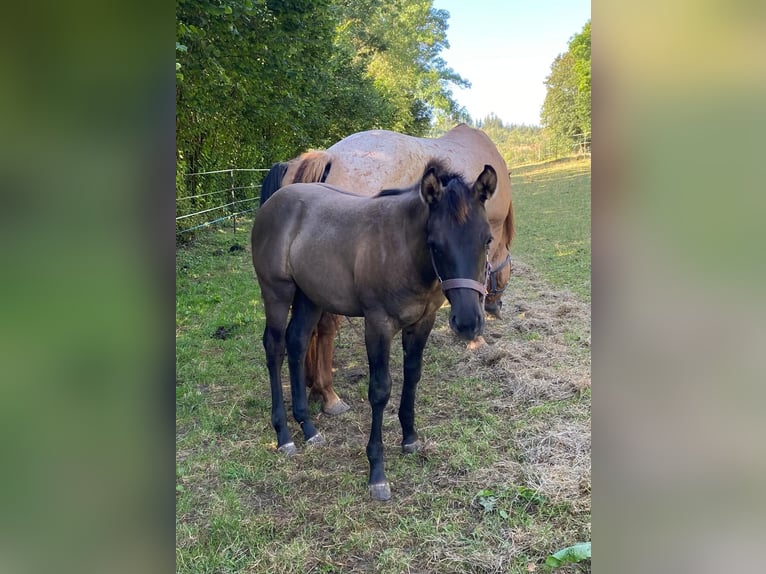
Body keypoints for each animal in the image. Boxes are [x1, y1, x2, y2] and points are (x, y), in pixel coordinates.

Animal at [252, 161, 498, 500]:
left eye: (487, 240)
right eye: (434, 243)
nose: (467, 322)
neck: (402, 250)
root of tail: (274, 201)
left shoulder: (423, 322)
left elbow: (413, 375)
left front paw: (410, 438)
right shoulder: (378, 324)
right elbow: (380, 390)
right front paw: (377, 472)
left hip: (310, 297)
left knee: (297, 341)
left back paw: (308, 428)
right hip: (277, 292)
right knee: (274, 348)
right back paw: (284, 434)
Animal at [260, 125, 520, 418]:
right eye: (490, 244)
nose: (496, 308)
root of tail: (327, 155)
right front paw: (478, 342)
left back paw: (312, 386)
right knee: (325, 326)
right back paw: (327, 393)